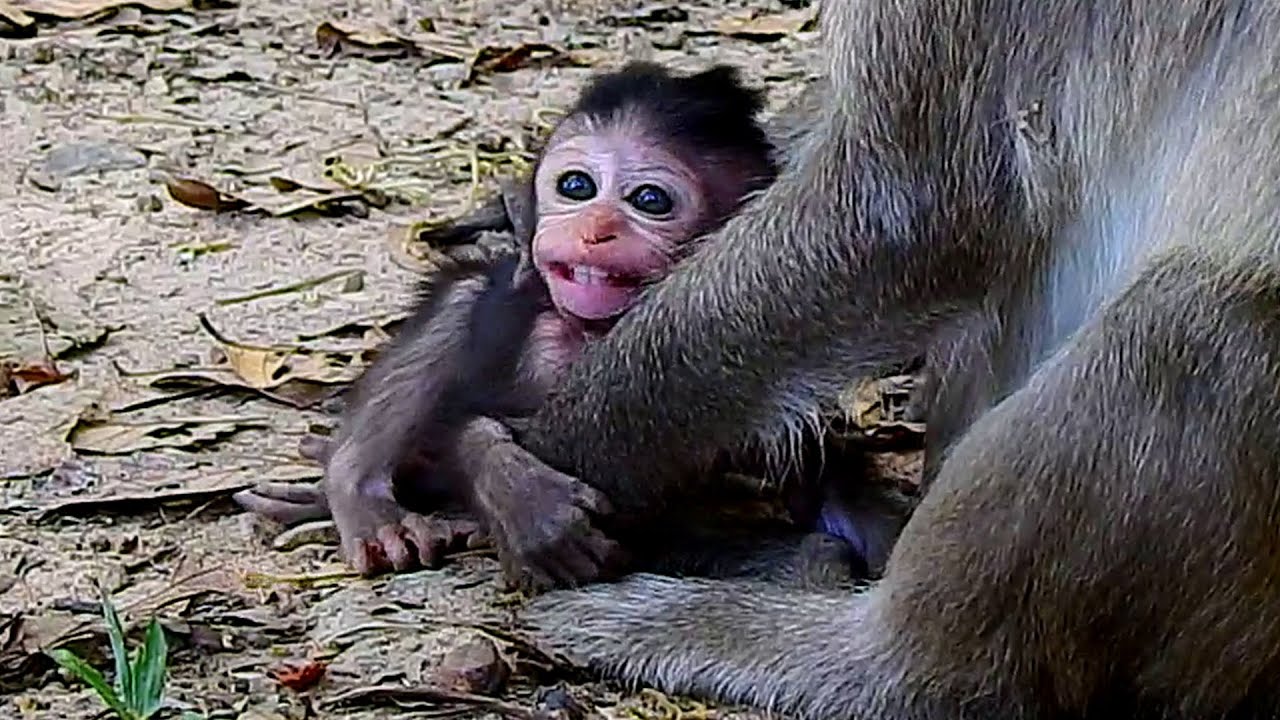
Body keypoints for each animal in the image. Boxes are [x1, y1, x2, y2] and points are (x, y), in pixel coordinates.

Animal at [236, 62, 912, 583]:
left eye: (649, 200)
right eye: (577, 186)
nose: (594, 228)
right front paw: (518, 492)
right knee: (462, 302)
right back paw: (364, 495)